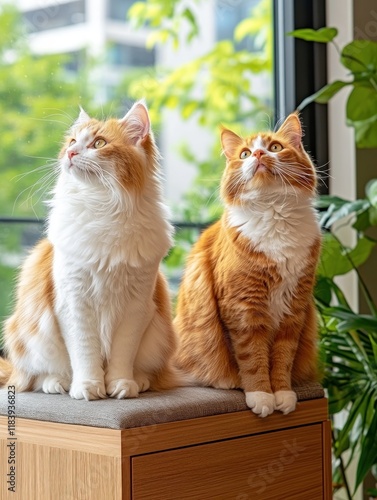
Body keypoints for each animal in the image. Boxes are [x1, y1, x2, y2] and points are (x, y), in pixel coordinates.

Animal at [0, 102, 178, 402]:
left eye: (99, 143)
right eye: (72, 142)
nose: (71, 153)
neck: (103, 206)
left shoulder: (136, 305)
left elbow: (122, 354)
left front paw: (121, 385)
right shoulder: (74, 302)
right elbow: (85, 353)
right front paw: (87, 388)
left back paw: (139, 381)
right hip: (29, 337)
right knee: (36, 377)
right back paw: (57, 383)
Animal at [173, 114, 320, 418]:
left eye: (275, 147)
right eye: (244, 154)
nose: (259, 154)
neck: (274, 215)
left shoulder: (294, 308)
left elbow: (283, 358)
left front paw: (283, 395)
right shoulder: (243, 308)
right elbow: (252, 358)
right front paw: (262, 396)